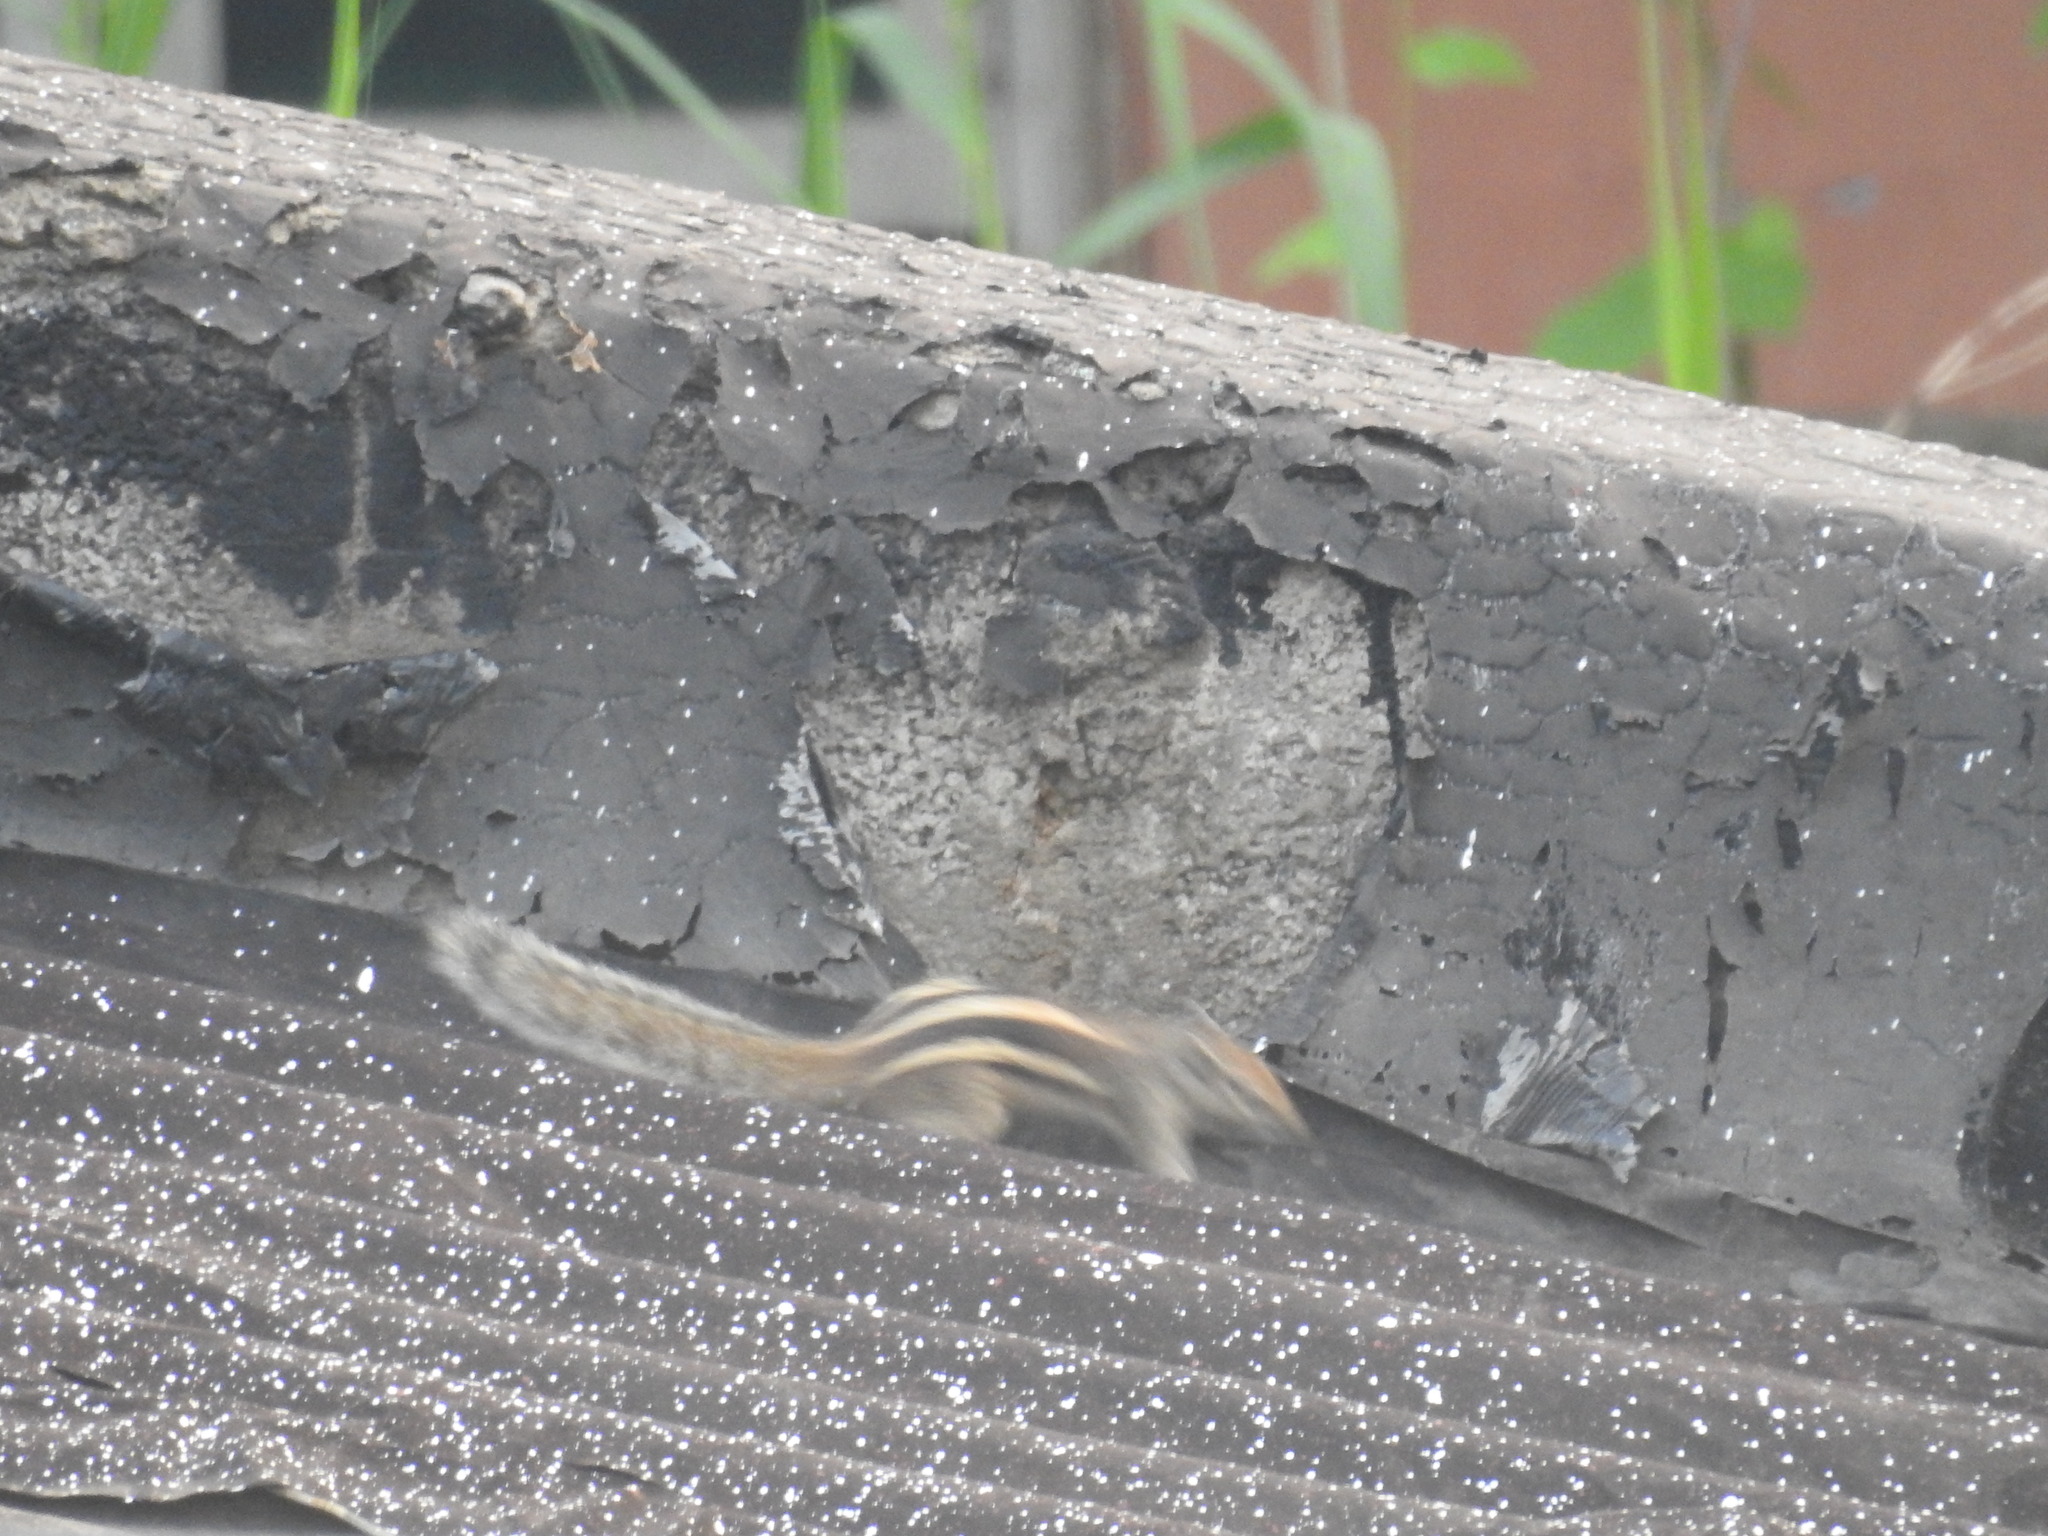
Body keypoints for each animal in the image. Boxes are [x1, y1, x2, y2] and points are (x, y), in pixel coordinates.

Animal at [427, 910, 1309, 1180]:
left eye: (1275, 1084)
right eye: (1246, 1089)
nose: (1299, 1133)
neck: (1166, 1053)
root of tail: (863, 1051)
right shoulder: (1144, 1100)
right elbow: (1163, 1159)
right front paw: (1196, 1175)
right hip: (970, 1103)